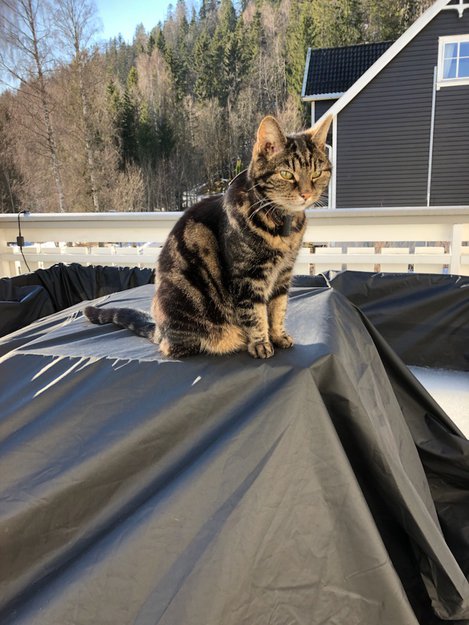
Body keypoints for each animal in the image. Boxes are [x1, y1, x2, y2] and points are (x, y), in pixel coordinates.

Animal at [84, 114, 332, 359]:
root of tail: (159, 330)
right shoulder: (247, 277)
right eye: (286, 174)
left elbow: (278, 308)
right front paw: (261, 343)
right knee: (171, 347)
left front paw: (278, 336)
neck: (283, 225)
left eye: (317, 173)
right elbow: (255, 313)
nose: (306, 194)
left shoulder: (283, 274)